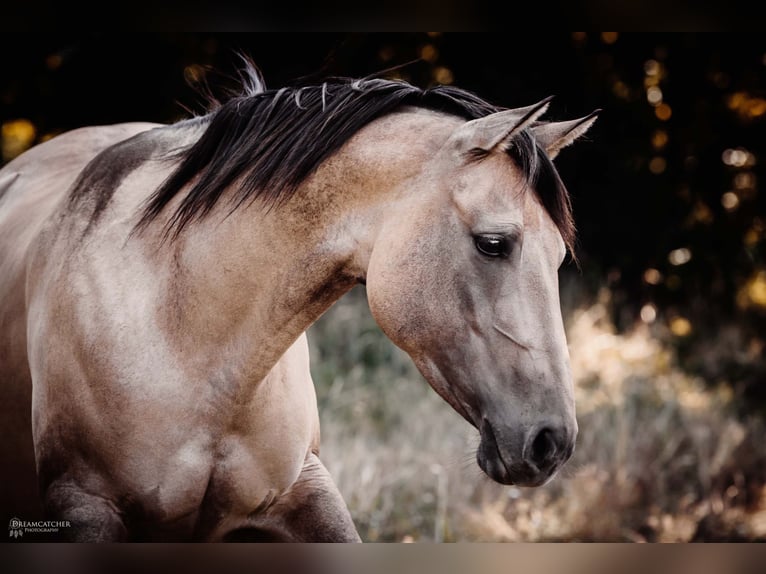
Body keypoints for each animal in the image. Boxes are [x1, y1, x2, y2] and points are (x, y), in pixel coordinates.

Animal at [0, 63, 600, 544]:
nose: (553, 443)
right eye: (493, 244)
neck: (183, 330)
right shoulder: (85, 504)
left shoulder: (304, 489)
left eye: (557, 255)